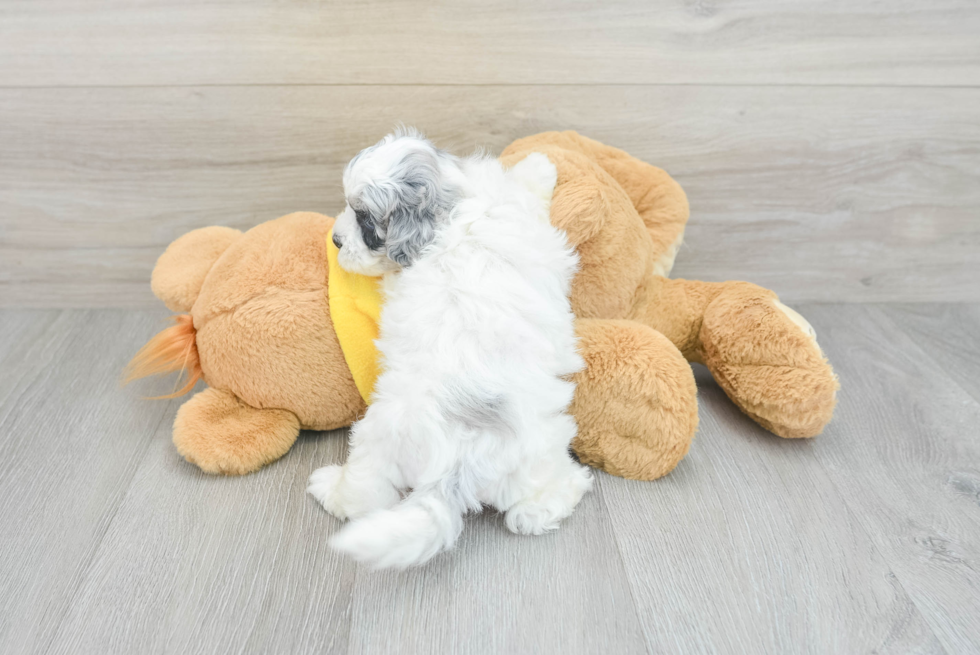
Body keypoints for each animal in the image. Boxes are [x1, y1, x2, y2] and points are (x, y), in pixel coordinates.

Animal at [310, 128, 592, 568]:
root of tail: (457, 460)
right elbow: (526, 190)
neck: (452, 209)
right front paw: (541, 165)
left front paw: (539, 164)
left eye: (366, 221)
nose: (337, 241)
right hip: (537, 448)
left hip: (379, 438)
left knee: (364, 493)